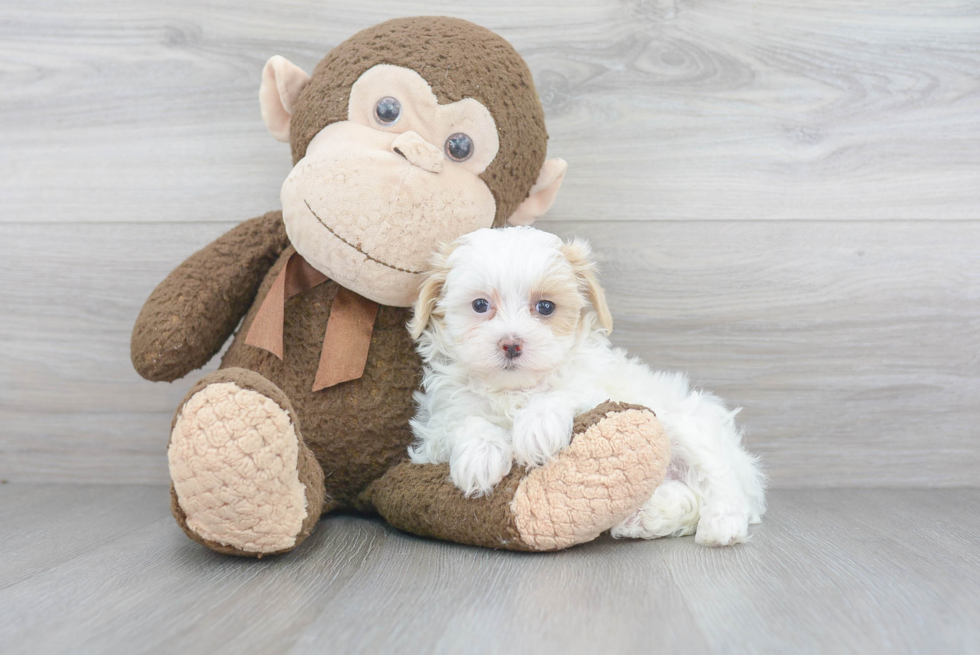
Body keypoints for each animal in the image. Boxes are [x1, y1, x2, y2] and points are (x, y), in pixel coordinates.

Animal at [406, 228, 764, 544]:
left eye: (545, 307)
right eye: (480, 305)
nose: (511, 344)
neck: (516, 390)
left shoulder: (598, 392)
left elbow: (565, 394)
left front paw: (537, 425)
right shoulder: (436, 427)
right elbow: (464, 420)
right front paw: (481, 454)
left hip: (688, 426)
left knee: (719, 479)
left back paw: (721, 525)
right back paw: (641, 516)